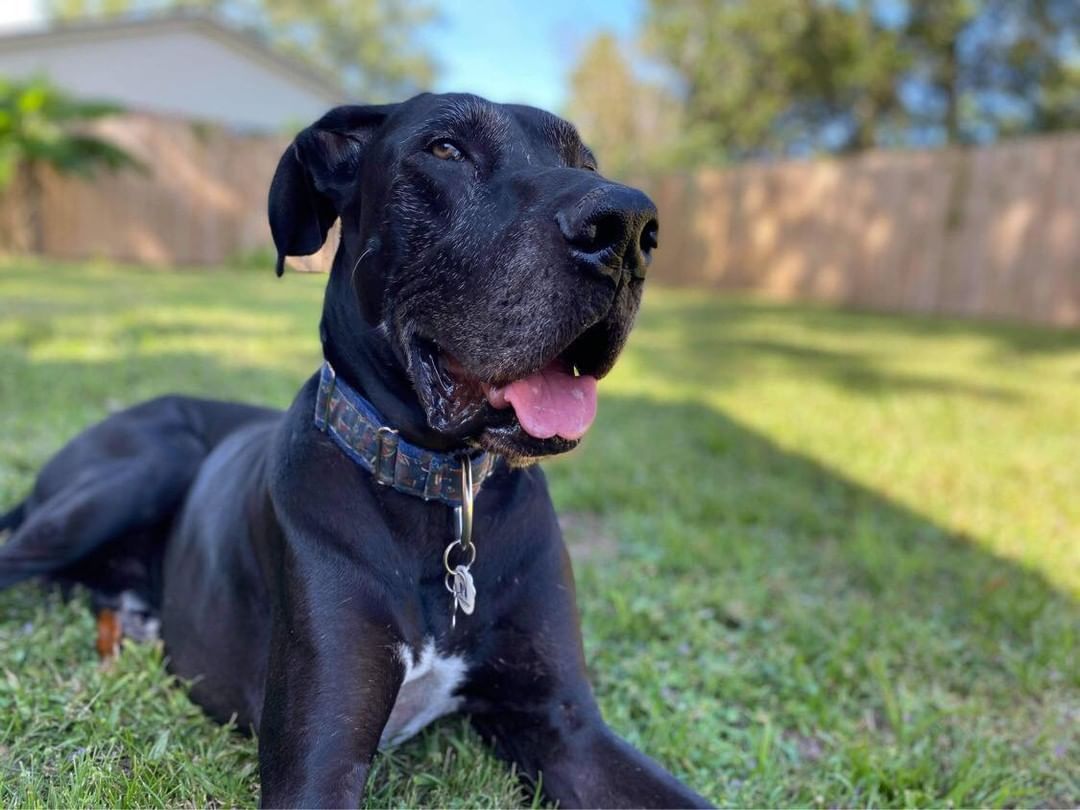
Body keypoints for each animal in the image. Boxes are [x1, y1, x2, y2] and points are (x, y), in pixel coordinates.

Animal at [0, 91, 712, 807]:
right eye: (445, 148)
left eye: (585, 163)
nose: (629, 227)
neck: (441, 490)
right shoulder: (321, 758)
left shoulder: (567, 727)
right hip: (144, 466)